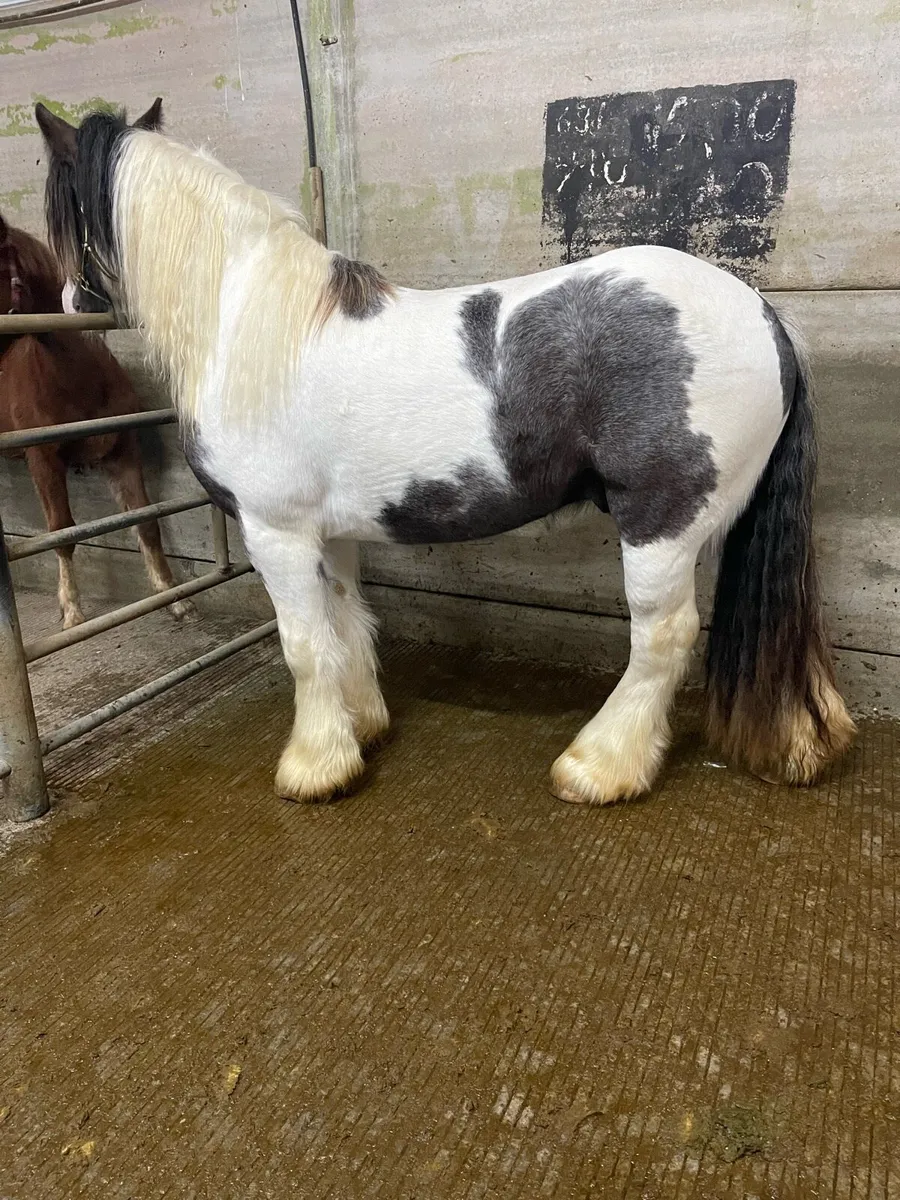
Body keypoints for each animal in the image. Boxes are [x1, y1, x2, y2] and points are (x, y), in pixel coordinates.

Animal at [0, 211, 191, 628]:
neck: (78, 380)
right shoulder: (42, 461)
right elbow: (62, 532)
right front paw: (72, 611)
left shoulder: (121, 450)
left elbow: (146, 519)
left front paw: (172, 596)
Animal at [34, 97, 855, 806]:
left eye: (61, 208)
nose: (68, 305)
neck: (251, 324)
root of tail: (764, 315)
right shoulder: (327, 535)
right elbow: (344, 627)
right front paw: (360, 732)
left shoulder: (275, 532)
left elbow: (303, 646)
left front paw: (313, 768)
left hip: (661, 524)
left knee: (663, 637)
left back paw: (599, 767)